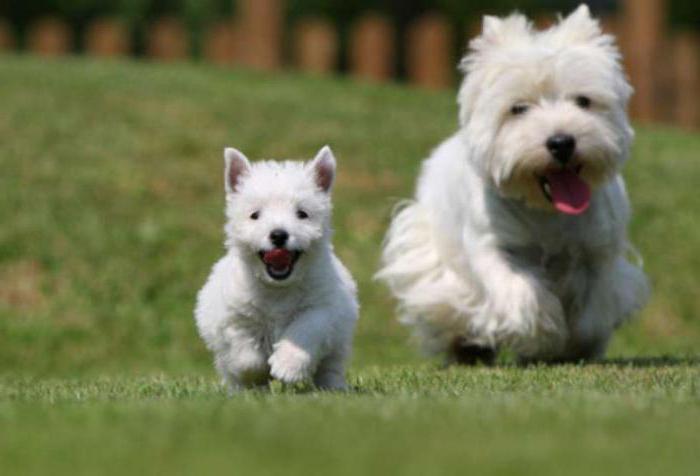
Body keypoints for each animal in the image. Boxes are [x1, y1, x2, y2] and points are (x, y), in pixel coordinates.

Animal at [197, 145, 360, 390]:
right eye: (255, 215)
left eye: (302, 214)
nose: (278, 235)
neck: (277, 289)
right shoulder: (233, 315)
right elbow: (245, 355)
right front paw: (258, 372)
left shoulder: (324, 307)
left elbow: (307, 329)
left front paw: (287, 366)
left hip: (339, 341)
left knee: (331, 366)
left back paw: (333, 388)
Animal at [378, 4, 652, 364]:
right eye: (518, 108)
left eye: (583, 101)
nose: (561, 142)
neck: (546, 211)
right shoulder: (491, 247)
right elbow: (523, 294)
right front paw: (544, 336)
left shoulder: (598, 251)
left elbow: (594, 310)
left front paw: (575, 343)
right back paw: (467, 346)